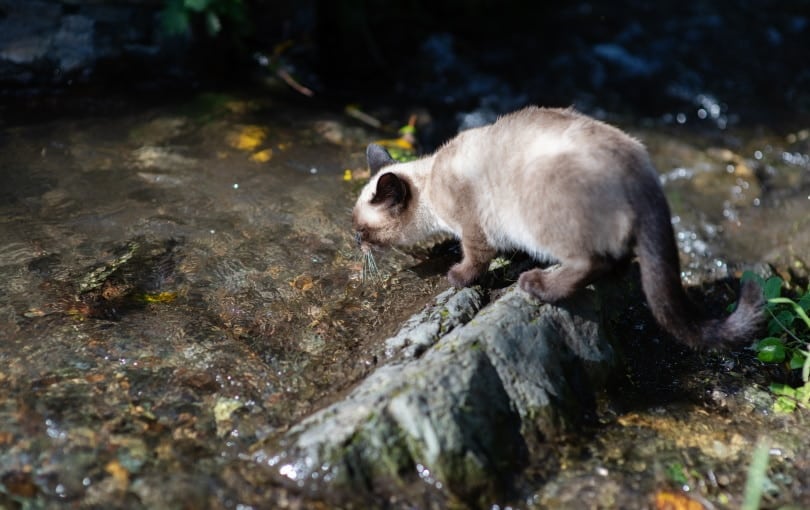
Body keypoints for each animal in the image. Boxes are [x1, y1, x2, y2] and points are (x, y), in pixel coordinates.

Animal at [350, 105, 760, 348]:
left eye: (361, 231)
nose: (356, 243)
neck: (431, 179)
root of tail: (640, 170)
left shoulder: (474, 227)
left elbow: (475, 259)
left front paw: (458, 276)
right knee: (618, 262)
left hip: (540, 215)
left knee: (590, 263)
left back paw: (538, 284)